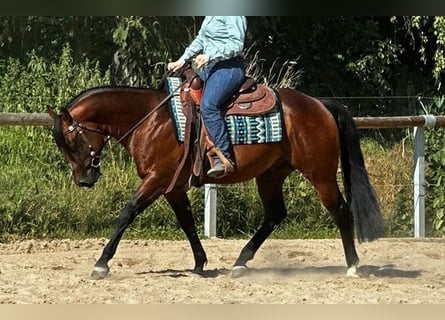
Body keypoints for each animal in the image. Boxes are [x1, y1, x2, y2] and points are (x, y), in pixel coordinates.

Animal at [46, 80, 384, 280]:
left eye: (71, 141)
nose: (84, 179)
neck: (152, 120)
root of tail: (319, 104)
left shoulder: (156, 180)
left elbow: (128, 213)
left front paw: (101, 263)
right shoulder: (172, 187)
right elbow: (187, 222)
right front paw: (199, 264)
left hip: (320, 174)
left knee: (340, 211)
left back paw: (353, 266)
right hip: (271, 175)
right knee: (275, 215)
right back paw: (240, 262)